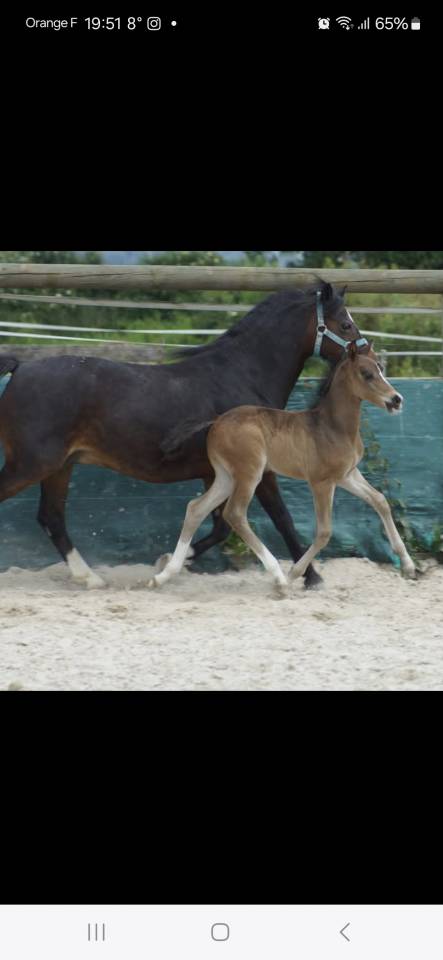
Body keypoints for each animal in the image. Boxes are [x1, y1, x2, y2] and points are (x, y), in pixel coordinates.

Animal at [0, 280, 374, 590]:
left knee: (51, 517)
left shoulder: (216, 473)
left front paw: (173, 560)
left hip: (60, 466)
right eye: (345, 324)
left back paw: (90, 578)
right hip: (33, 464)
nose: (369, 359)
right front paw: (311, 577)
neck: (242, 375)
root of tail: (21, 368)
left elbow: (220, 525)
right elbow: (281, 519)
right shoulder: (259, 470)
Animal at [149, 344, 416, 593]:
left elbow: (380, 501)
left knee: (196, 508)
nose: (397, 400)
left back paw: (163, 575)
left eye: (380, 369)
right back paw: (278, 576)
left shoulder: (347, 475)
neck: (332, 427)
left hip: (226, 477)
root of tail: (216, 421)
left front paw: (408, 565)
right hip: (249, 474)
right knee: (235, 514)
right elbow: (324, 532)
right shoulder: (321, 482)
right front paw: (295, 574)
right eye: (366, 374)